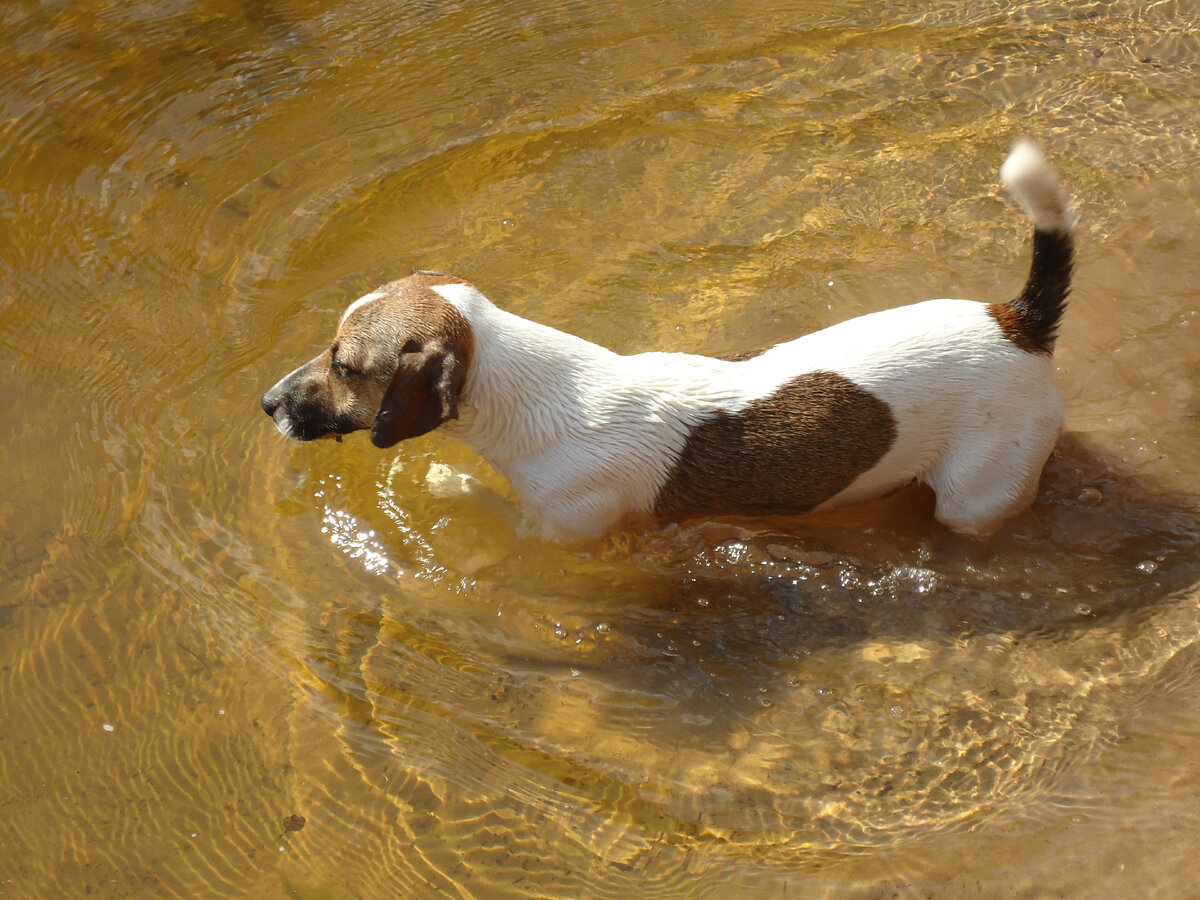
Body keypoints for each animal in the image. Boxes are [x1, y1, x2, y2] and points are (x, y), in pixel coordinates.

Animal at [262, 137, 1080, 540]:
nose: (267, 403)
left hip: (975, 495)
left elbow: (494, 512)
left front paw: (448, 486)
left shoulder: (562, 529)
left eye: (344, 365)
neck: (534, 398)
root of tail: (1018, 319)